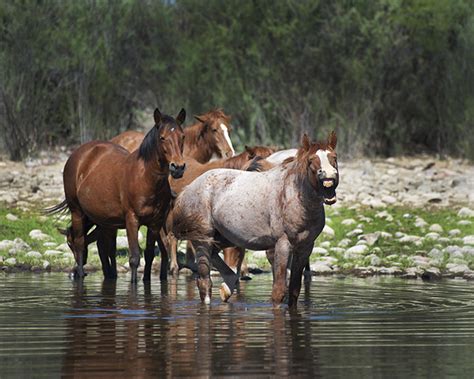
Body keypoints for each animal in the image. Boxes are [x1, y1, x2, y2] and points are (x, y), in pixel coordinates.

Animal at [47, 108, 185, 284]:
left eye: (182, 136)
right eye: (162, 137)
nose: (178, 167)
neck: (146, 179)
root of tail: (77, 155)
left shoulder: (154, 223)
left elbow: (148, 255)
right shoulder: (132, 220)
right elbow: (134, 258)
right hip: (77, 211)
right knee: (81, 242)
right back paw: (81, 274)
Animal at [172, 132, 338, 308]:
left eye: (334, 157)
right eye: (311, 160)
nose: (329, 177)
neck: (294, 197)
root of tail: (188, 189)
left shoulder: (305, 247)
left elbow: (294, 291)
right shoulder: (282, 245)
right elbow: (279, 292)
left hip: (224, 238)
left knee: (219, 260)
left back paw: (227, 288)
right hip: (203, 239)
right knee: (204, 283)